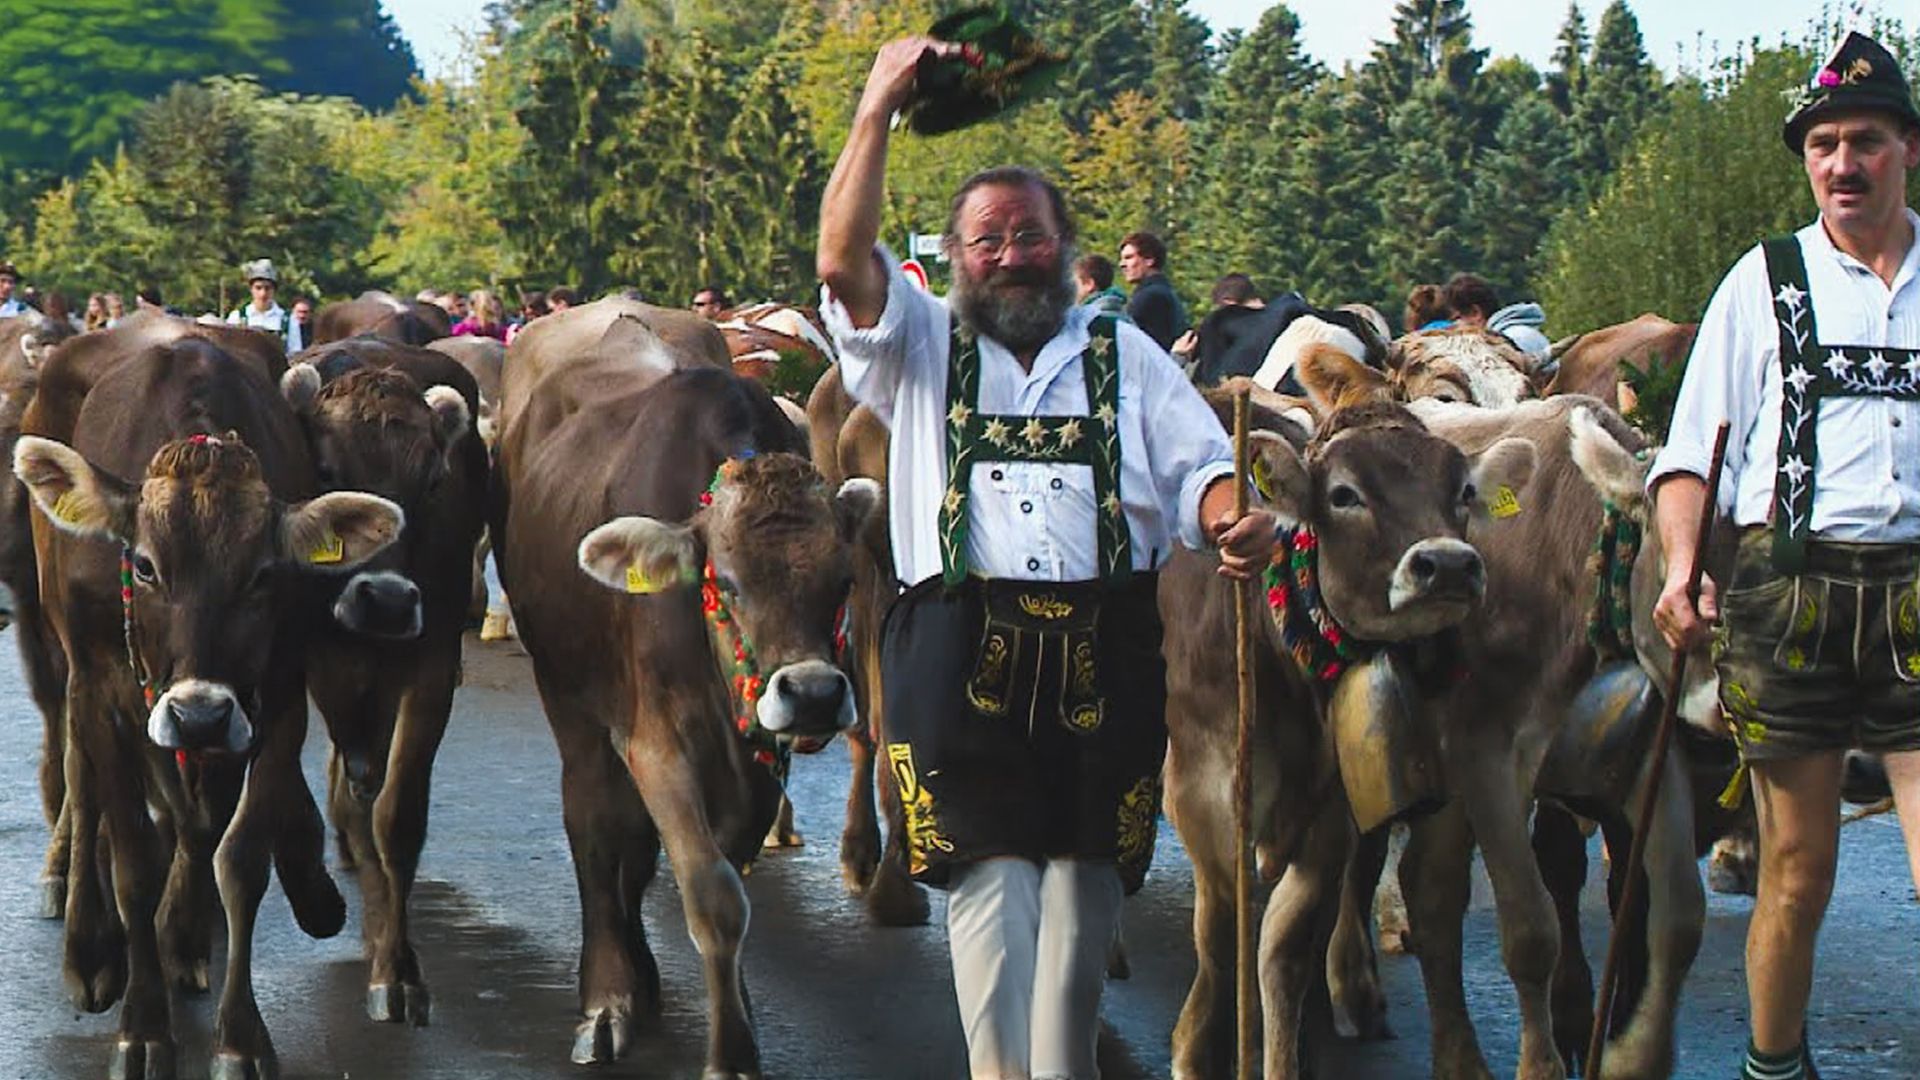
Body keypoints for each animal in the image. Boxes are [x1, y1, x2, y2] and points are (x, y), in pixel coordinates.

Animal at [12, 330, 405, 1076]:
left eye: (263, 574)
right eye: (143, 565)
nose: (199, 714)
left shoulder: (272, 697)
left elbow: (237, 855)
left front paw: (239, 1033)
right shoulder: (105, 690)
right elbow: (132, 857)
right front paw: (142, 1026)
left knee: (192, 817)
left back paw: (189, 936)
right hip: (71, 659)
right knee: (83, 781)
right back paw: (89, 944)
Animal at [278, 340, 487, 1022]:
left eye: (433, 481)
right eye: (324, 469)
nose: (389, 601)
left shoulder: (431, 667)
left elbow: (397, 816)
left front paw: (396, 966)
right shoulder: (327, 666)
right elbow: (359, 792)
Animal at [499, 330, 879, 1068]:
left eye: (843, 580)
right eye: (726, 584)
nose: (814, 694)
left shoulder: (754, 761)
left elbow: (724, 871)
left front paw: (742, 1017)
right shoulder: (655, 741)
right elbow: (709, 890)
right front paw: (730, 1055)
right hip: (570, 698)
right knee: (596, 829)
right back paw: (608, 995)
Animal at [1152, 349, 1543, 1068]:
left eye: (1462, 492)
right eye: (1345, 495)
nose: (1448, 564)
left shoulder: (1330, 805)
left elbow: (1283, 947)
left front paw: (1281, 1053)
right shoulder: (1201, 788)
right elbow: (1222, 931)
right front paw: (1197, 1048)